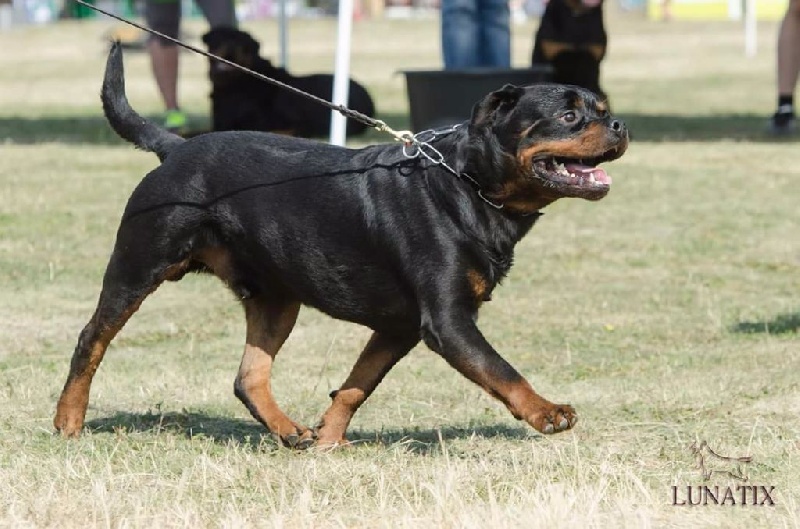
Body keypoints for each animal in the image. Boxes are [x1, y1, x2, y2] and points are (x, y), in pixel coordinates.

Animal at [53, 43, 628, 448]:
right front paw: (545, 411)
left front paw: (329, 439)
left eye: (603, 109)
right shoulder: (447, 322)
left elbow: (357, 384)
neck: (468, 184)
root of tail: (175, 147)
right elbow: (500, 368)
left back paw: (288, 430)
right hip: (138, 265)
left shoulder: (399, 327)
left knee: (248, 378)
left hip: (275, 296)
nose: (619, 124)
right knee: (91, 340)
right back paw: (68, 421)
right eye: (570, 116)